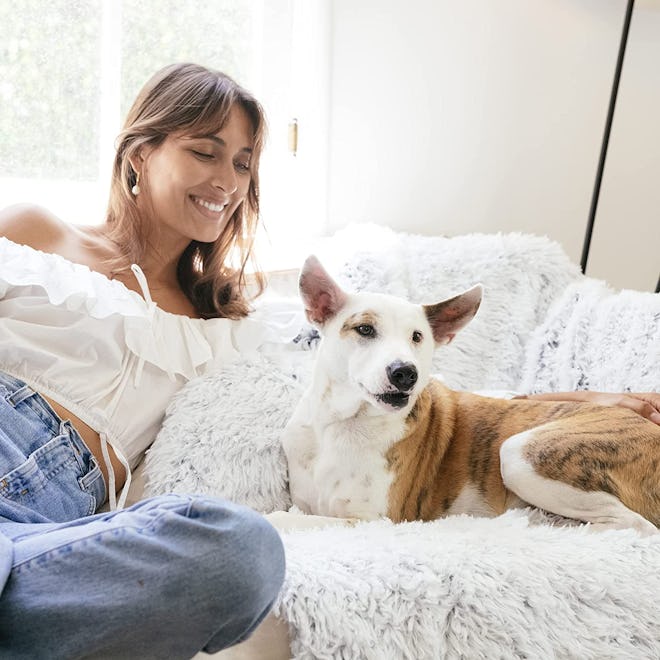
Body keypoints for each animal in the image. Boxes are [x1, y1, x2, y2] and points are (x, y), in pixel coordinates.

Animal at [282, 255, 660, 532]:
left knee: (636, 526)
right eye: (364, 329)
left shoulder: (373, 521)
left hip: (522, 454)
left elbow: (290, 521)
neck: (343, 422)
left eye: (417, 337)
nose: (405, 373)